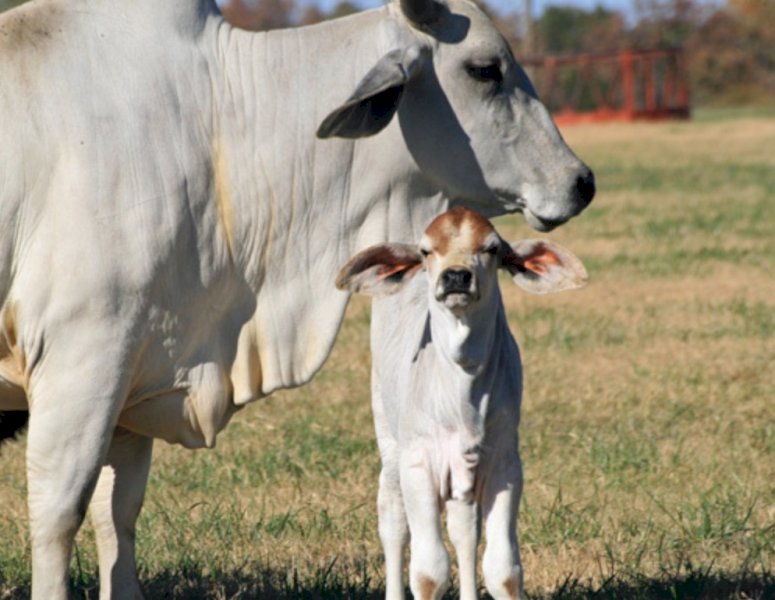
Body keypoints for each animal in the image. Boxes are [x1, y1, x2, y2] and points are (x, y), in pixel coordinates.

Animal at [336, 207, 588, 600]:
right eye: (425, 251)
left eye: (492, 248)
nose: (455, 276)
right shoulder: (417, 464)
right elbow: (429, 571)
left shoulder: (505, 465)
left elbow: (503, 570)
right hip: (388, 439)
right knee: (393, 521)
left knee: (464, 531)